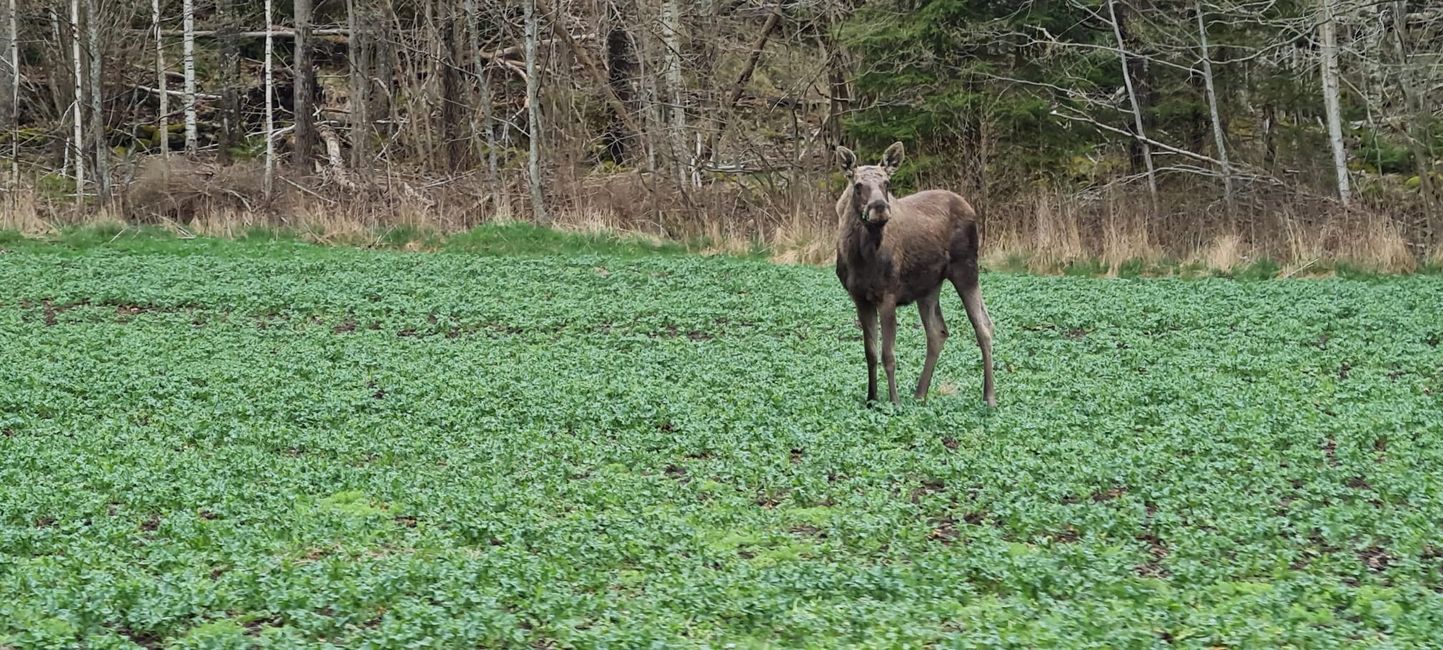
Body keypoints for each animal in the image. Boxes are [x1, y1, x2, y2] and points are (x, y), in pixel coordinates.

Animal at [836, 142, 992, 407]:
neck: (861, 256)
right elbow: (870, 352)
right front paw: (871, 399)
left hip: (967, 269)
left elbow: (888, 354)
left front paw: (894, 402)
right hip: (929, 286)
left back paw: (989, 397)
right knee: (938, 332)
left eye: (887, 183)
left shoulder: (888, 295)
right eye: (857, 185)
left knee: (983, 327)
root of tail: (970, 208)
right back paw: (920, 394)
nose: (879, 208)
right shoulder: (859, 297)